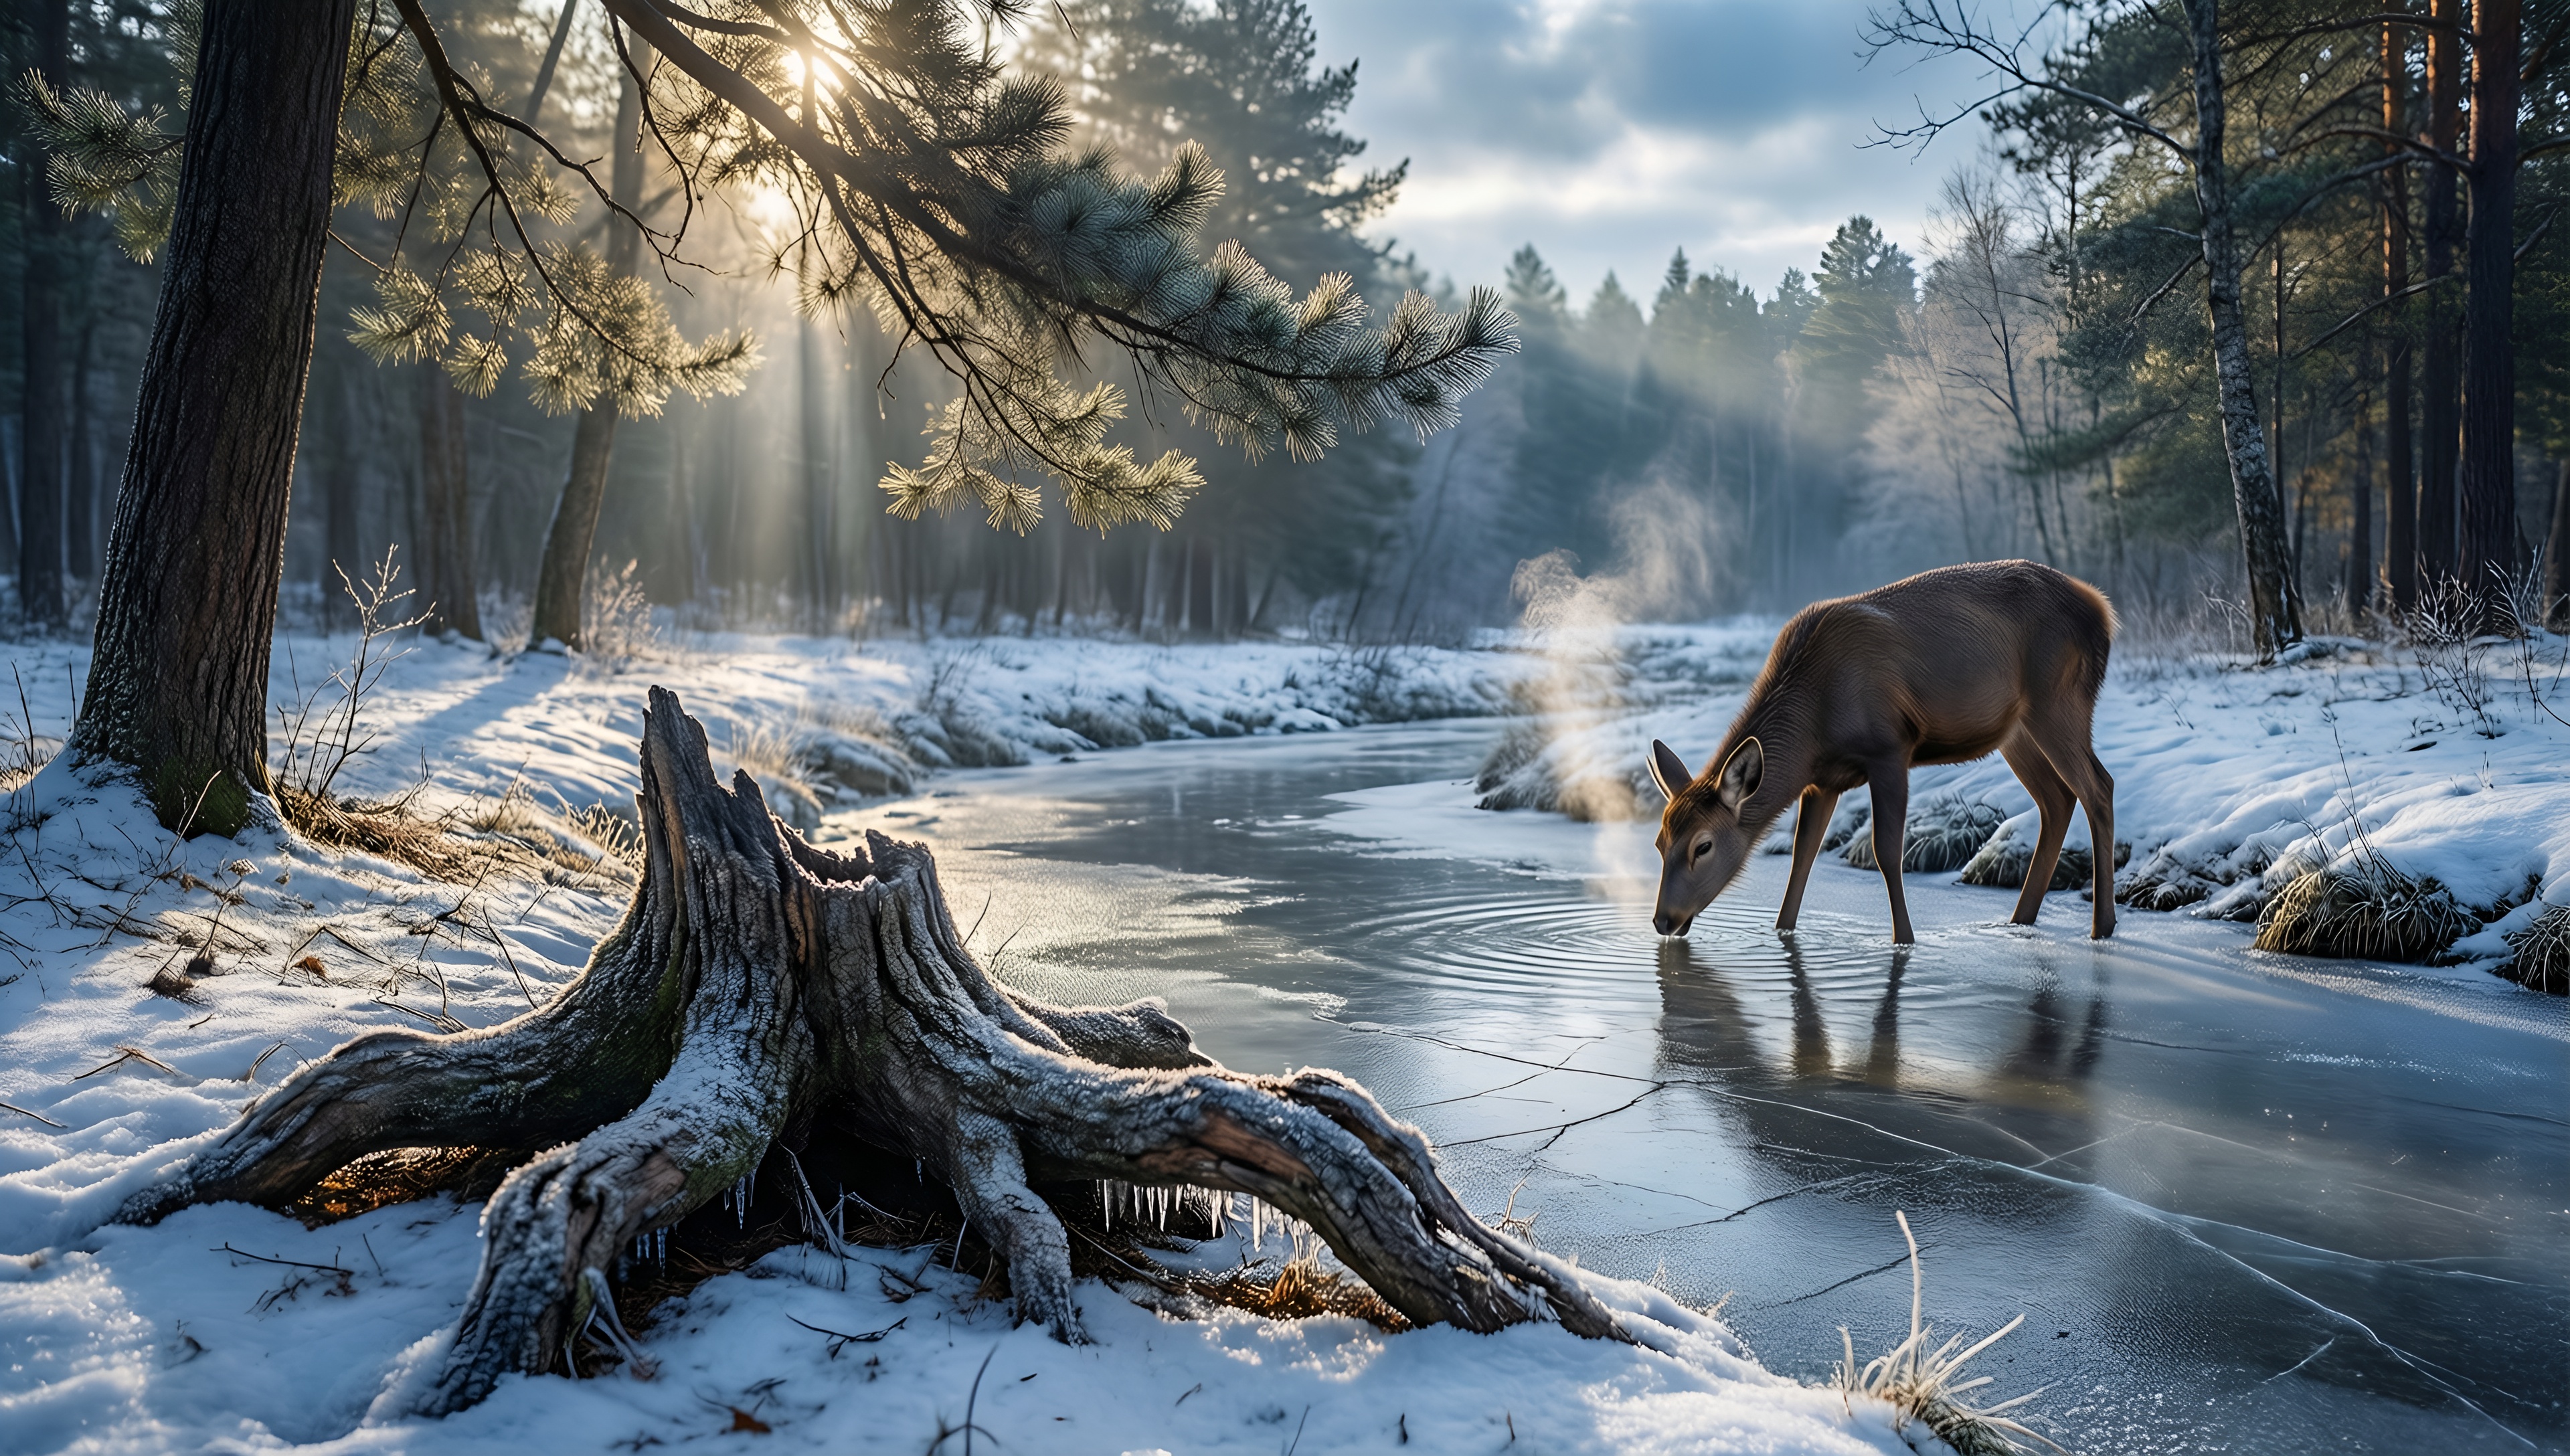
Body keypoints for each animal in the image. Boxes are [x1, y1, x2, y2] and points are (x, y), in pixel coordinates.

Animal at [1648, 560, 2118, 945]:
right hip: (2016, 732)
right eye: (1659, 842)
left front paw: (1904, 940)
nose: (1663, 921)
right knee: (2058, 798)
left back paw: (2102, 925)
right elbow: (1803, 856)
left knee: (2099, 787)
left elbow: (1887, 852)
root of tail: (2103, 610)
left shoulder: (1890, 748)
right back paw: (2021, 918)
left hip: (2058, 698)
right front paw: (1783, 931)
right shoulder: (1822, 780)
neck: (1812, 726)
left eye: (1703, 846)